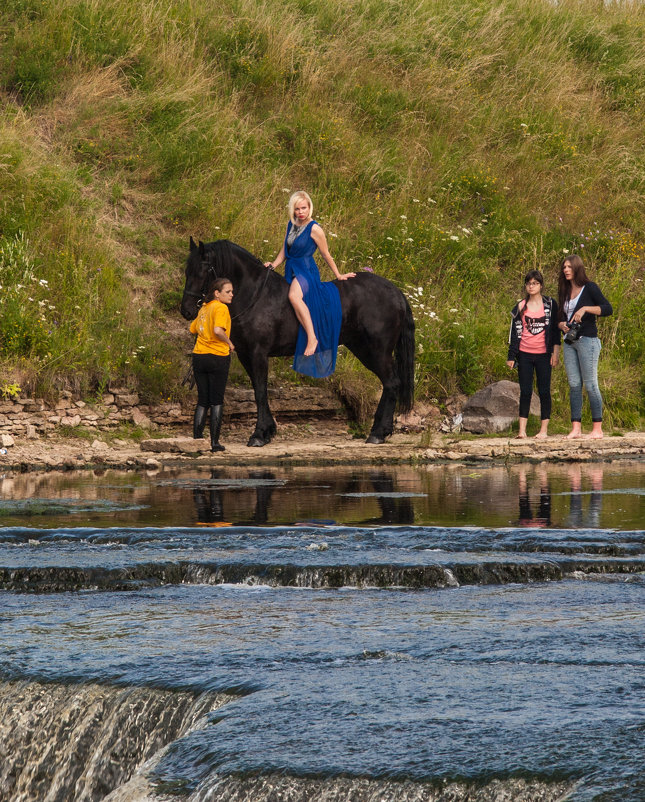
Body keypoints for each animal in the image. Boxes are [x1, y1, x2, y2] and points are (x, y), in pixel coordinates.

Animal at [180, 238, 412, 450]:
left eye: (202, 271)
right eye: (186, 271)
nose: (186, 310)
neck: (256, 296)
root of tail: (395, 292)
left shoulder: (258, 353)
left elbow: (260, 391)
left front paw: (259, 434)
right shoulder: (246, 354)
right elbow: (257, 389)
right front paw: (268, 431)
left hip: (377, 351)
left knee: (392, 383)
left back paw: (378, 433)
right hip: (362, 349)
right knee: (389, 384)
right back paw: (380, 430)